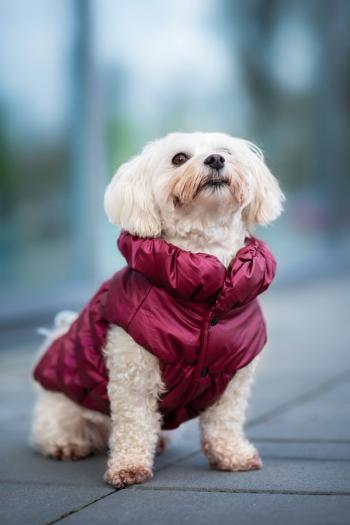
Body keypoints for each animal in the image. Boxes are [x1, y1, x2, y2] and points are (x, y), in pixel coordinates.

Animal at [30, 131, 284, 488]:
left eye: (225, 151)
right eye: (179, 158)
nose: (215, 160)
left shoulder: (233, 377)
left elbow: (225, 421)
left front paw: (232, 455)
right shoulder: (133, 371)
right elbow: (134, 422)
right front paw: (128, 467)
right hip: (64, 404)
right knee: (57, 428)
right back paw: (66, 444)